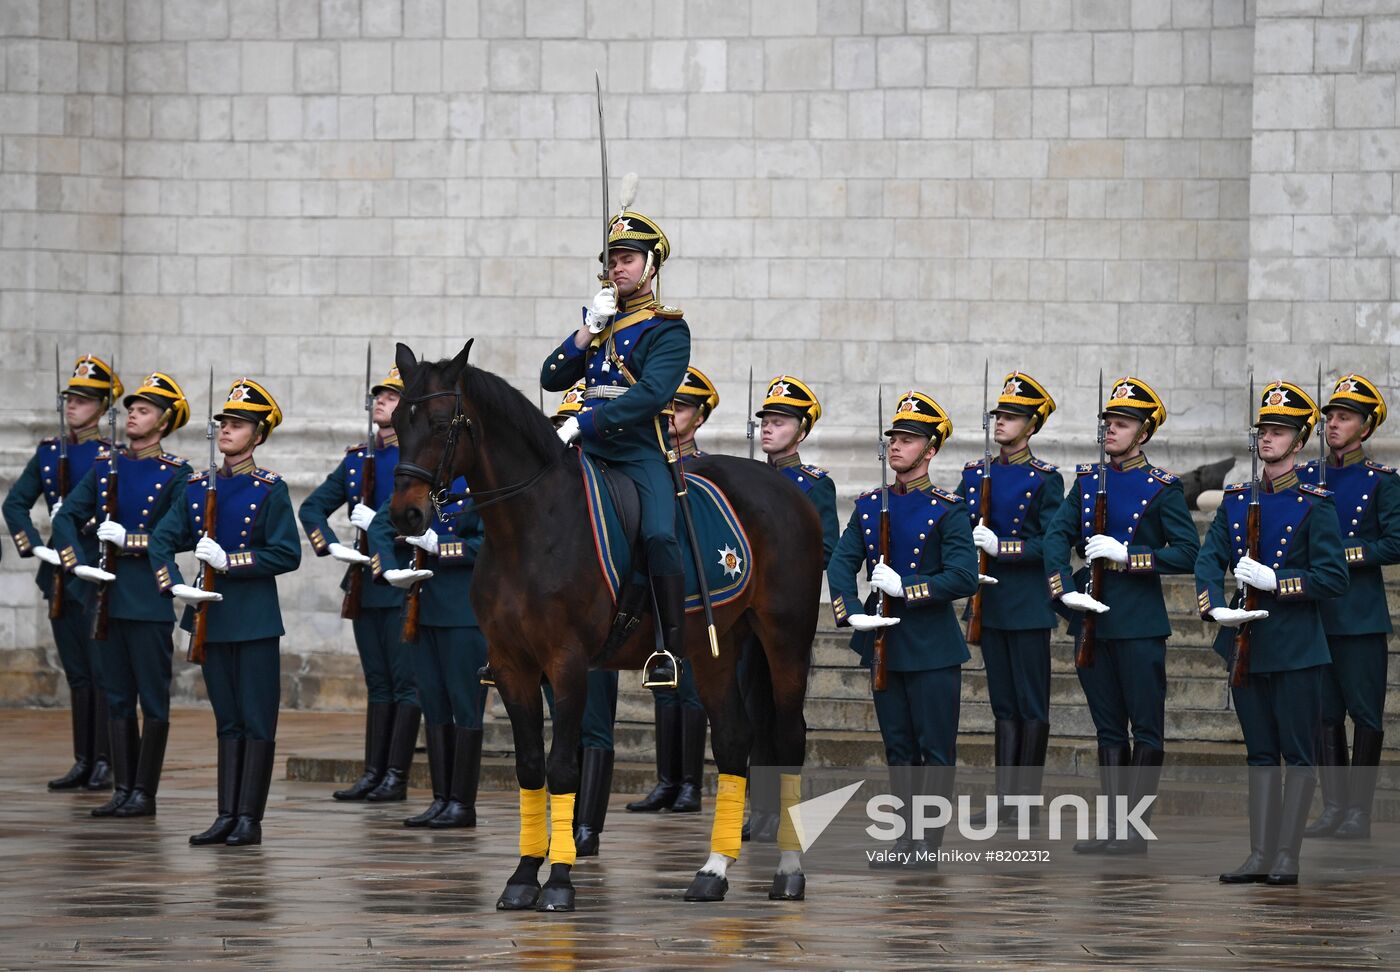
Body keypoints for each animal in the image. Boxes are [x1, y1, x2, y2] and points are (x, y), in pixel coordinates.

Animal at [383, 343, 817, 913]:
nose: (405, 516)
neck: (527, 526)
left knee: (787, 737)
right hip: (715, 648)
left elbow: (563, 766)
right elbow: (530, 767)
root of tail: (784, 489)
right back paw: (712, 871)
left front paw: (560, 881)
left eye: (438, 423)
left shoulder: (567, 663)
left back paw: (788, 871)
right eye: (395, 422)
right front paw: (523, 876)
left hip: (785, 637)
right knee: (732, 739)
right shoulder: (511, 665)